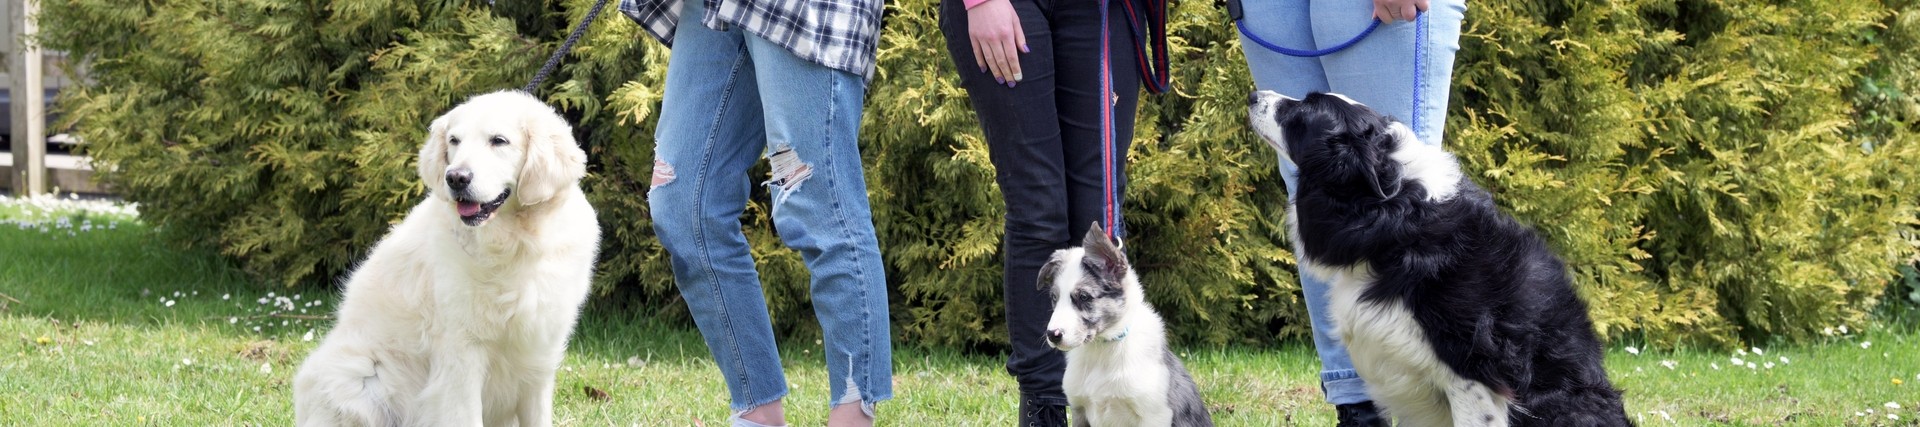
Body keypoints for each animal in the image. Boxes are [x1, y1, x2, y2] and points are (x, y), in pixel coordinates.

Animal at [293, 90, 599, 427]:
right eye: (454, 141)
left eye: (499, 140)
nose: (456, 178)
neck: (516, 244)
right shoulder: (462, 355)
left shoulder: (539, 354)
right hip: (359, 377)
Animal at [1044, 225, 1205, 425]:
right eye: (1054, 298)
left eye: (1084, 297)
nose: (1053, 335)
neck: (1101, 349)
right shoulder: (1079, 409)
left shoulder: (1153, 414)